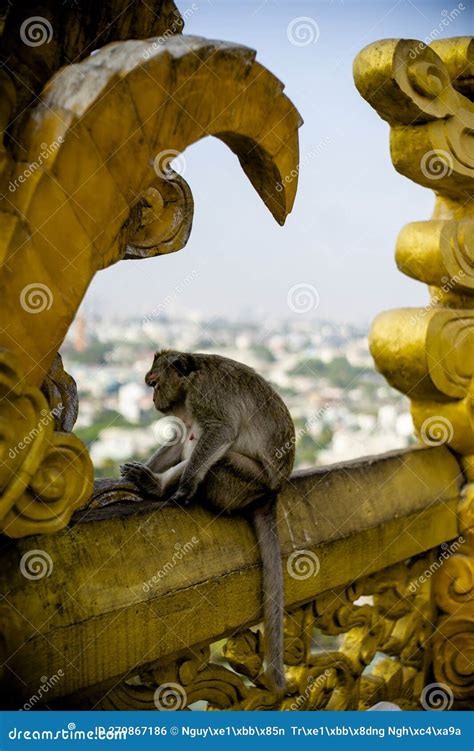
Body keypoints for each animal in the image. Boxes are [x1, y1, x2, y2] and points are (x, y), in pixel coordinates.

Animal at [120, 350, 294, 692]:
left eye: (153, 382)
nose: (154, 400)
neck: (190, 382)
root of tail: (271, 492)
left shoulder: (206, 395)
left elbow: (220, 431)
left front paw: (184, 488)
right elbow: (179, 438)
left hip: (244, 484)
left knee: (219, 456)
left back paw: (161, 487)